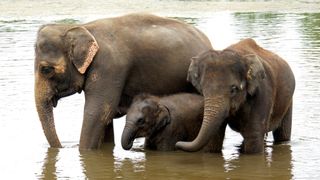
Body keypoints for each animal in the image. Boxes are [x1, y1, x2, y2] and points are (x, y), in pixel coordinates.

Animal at [34, 13, 212, 150]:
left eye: (46, 69)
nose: (62, 147)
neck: (84, 28)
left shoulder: (108, 67)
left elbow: (97, 113)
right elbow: (106, 118)